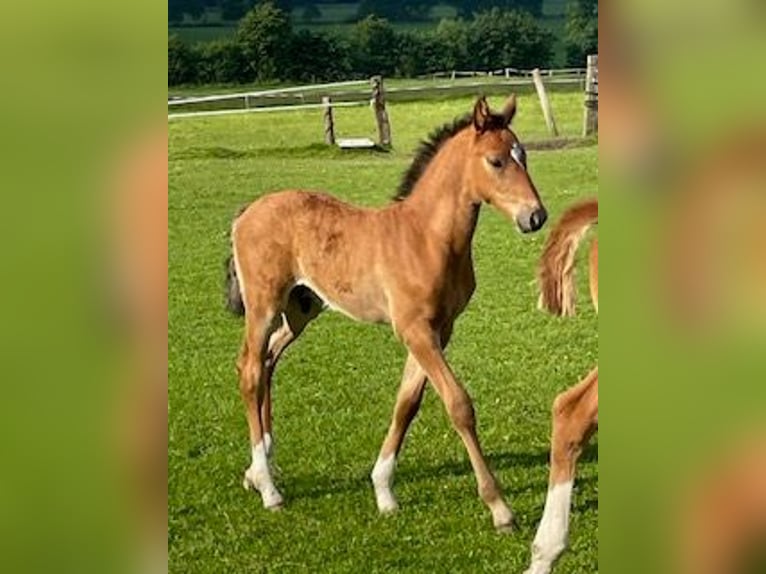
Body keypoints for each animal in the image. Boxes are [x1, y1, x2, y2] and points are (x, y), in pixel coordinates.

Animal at [225, 94, 548, 532]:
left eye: (524, 155)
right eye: (496, 161)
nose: (536, 217)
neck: (426, 237)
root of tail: (246, 211)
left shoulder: (438, 329)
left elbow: (407, 403)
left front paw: (383, 490)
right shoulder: (414, 329)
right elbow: (458, 405)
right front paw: (500, 508)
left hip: (300, 310)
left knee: (269, 362)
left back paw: (258, 472)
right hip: (264, 306)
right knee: (250, 370)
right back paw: (269, 489)